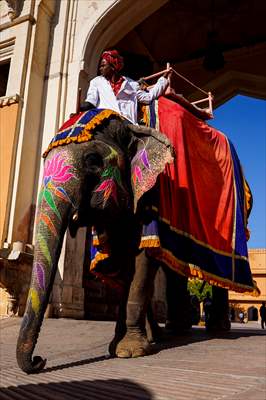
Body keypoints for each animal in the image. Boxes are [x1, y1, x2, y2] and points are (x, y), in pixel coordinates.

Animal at [17, 113, 175, 376]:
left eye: (93, 160)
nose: (40, 360)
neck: (131, 127)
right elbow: (125, 267)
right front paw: (121, 347)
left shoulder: (150, 195)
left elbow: (142, 258)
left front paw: (128, 352)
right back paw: (158, 337)